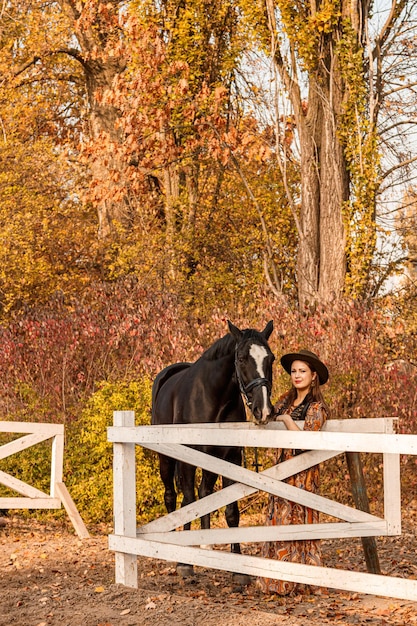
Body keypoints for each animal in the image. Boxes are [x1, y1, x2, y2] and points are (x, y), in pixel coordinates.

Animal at [151, 322, 274, 576]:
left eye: (271, 358)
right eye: (241, 358)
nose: (264, 410)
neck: (212, 397)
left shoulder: (230, 458)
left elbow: (231, 511)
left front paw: (238, 569)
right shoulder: (187, 458)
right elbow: (187, 502)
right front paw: (185, 564)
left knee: (204, 491)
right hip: (166, 459)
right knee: (173, 496)